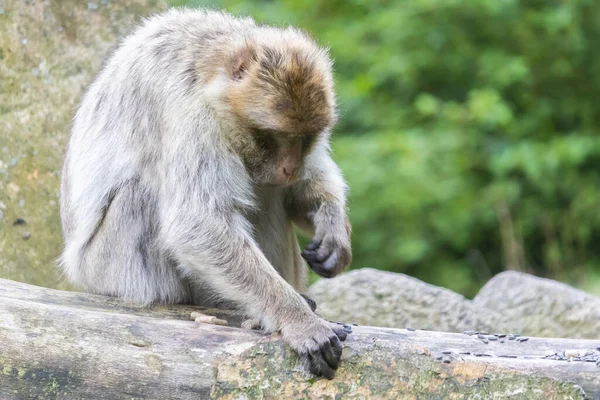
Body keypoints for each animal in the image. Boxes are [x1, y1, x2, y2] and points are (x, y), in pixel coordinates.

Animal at [58, 8, 352, 378]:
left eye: (305, 138)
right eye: (275, 135)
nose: (288, 167)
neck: (210, 60)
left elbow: (297, 189)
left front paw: (333, 226)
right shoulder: (192, 114)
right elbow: (197, 224)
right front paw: (296, 319)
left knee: (267, 191)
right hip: (114, 269)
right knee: (142, 195)